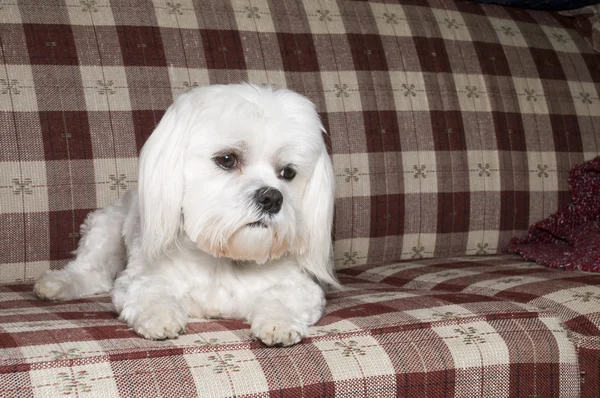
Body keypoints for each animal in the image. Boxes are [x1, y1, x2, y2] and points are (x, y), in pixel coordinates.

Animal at [35, 83, 340, 346]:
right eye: (227, 159)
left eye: (288, 173)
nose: (272, 198)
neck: (223, 258)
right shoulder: (138, 278)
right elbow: (150, 290)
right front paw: (160, 316)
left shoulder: (301, 287)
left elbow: (282, 296)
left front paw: (279, 322)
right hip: (106, 228)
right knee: (92, 271)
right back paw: (55, 283)